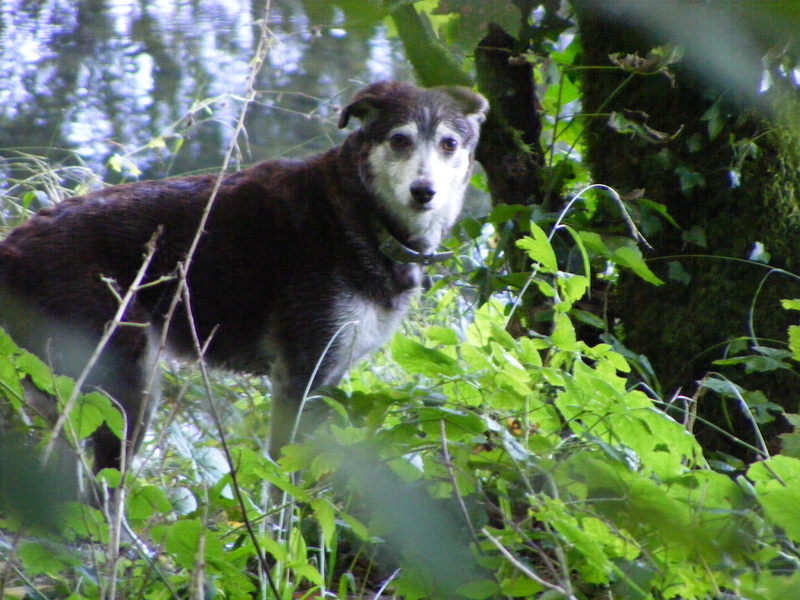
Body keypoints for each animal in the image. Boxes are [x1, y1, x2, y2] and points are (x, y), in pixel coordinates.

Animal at [0, 79, 488, 474]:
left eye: (448, 144)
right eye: (400, 140)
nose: (424, 192)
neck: (358, 210)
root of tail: (12, 249)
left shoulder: (326, 380)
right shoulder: (300, 378)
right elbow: (287, 487)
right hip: (123, 386)